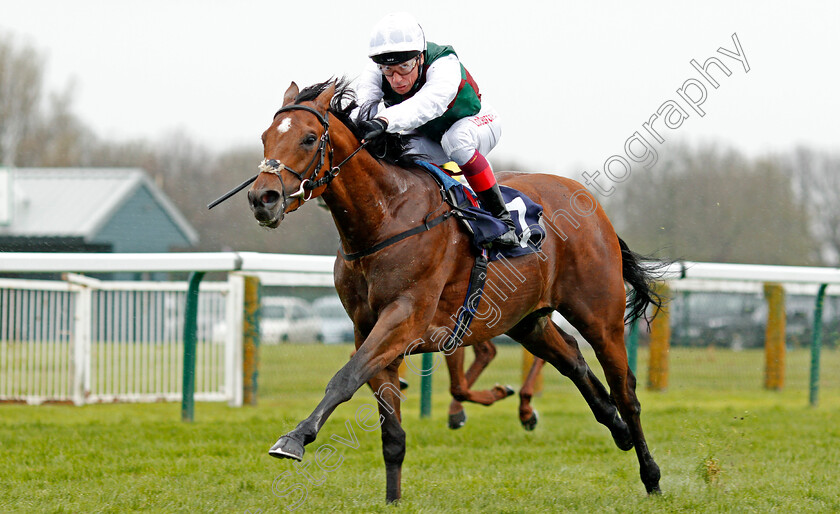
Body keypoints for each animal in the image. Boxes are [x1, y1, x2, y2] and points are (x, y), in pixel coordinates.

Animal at [249, 80, 664, 500]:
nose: (261, 198)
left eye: (309, 138)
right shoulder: (367, 329)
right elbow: (391, 431)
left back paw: (651, 475)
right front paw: (393, 500)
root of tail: (591, 202)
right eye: (266, 137)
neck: (385, 216)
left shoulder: (404, 319)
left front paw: (295, 438)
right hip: (526, 320)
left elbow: (345, 377)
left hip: (599, 315)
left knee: (626, 391)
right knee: (573, 359)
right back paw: (614, 427)